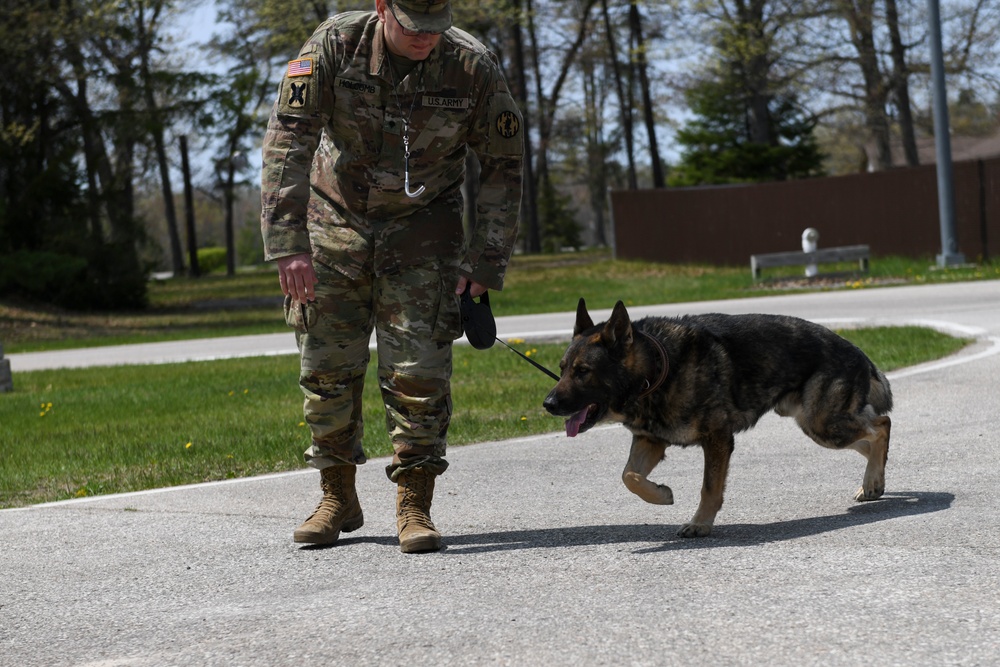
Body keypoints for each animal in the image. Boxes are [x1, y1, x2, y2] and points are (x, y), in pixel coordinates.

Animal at [544, 300, 896, 540]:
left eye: (582, 371)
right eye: (562, 369)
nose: (547, 404)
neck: (657, 369)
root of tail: (857, 350)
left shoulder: (717, 439)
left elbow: (709, 487)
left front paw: (700, 523)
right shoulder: (650, 441)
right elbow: (629, 477)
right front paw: (661, 494)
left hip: (824, 424)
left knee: (881, 426)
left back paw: (872, 480)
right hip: (817, 424)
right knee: (870, 437)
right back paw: (872, 483)